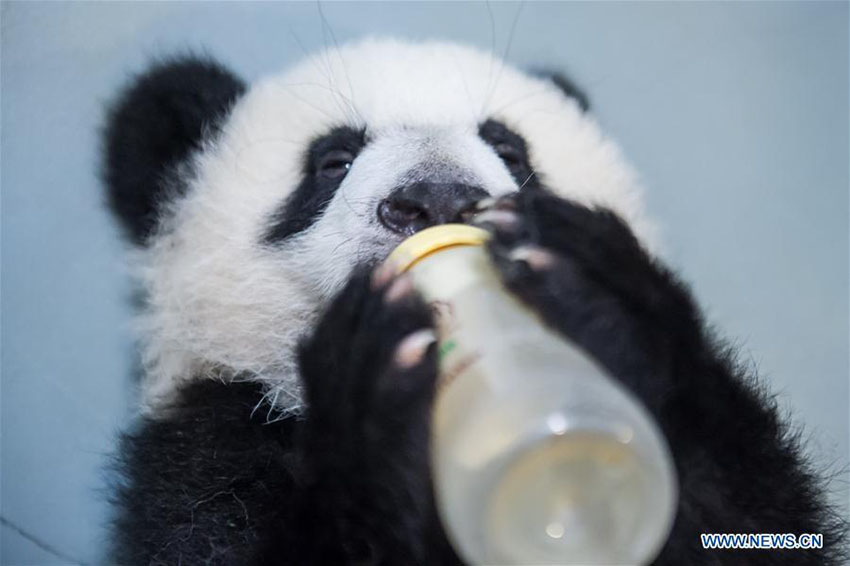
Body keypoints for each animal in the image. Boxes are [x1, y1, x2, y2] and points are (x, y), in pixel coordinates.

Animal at [103, 38, 843, 565]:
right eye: (333, 161)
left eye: (510, 150)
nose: (439, 199)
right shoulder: (208, 447)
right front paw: (371, 391)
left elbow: (751, 521)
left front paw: (605, 307)